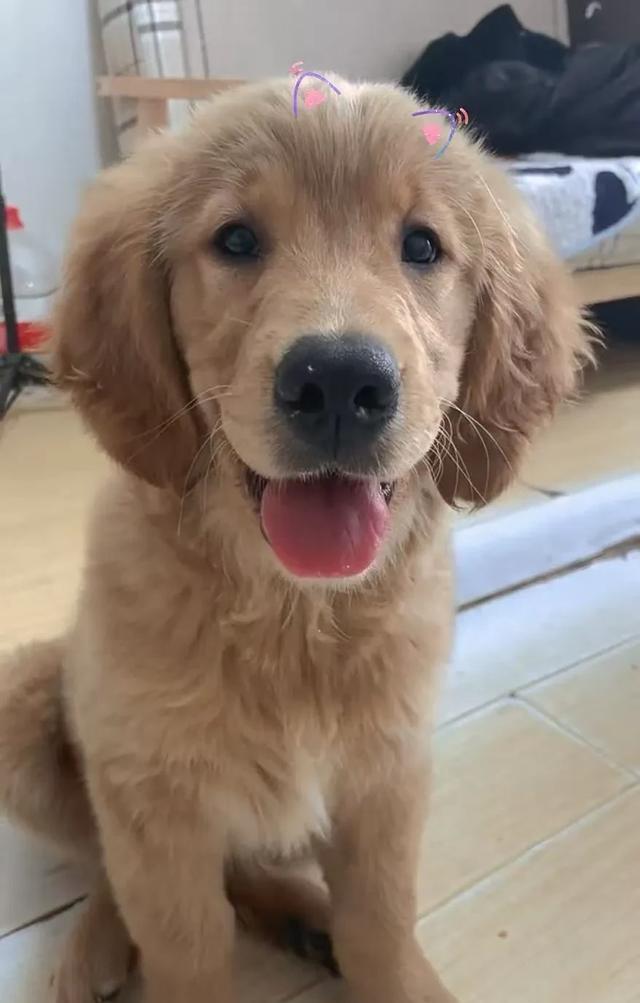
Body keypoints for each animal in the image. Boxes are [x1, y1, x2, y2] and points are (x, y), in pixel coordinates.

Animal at [0, 75, 591, 1003]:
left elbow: (380, 921)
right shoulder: (150, 797)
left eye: (422, 246)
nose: (341, 381)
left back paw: (309, 918)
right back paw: (97, 946)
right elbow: (185, 940)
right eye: (237, 239)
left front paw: (395, 972)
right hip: (29, 705)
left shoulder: (390, 778)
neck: (295, 614)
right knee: (111, 863)